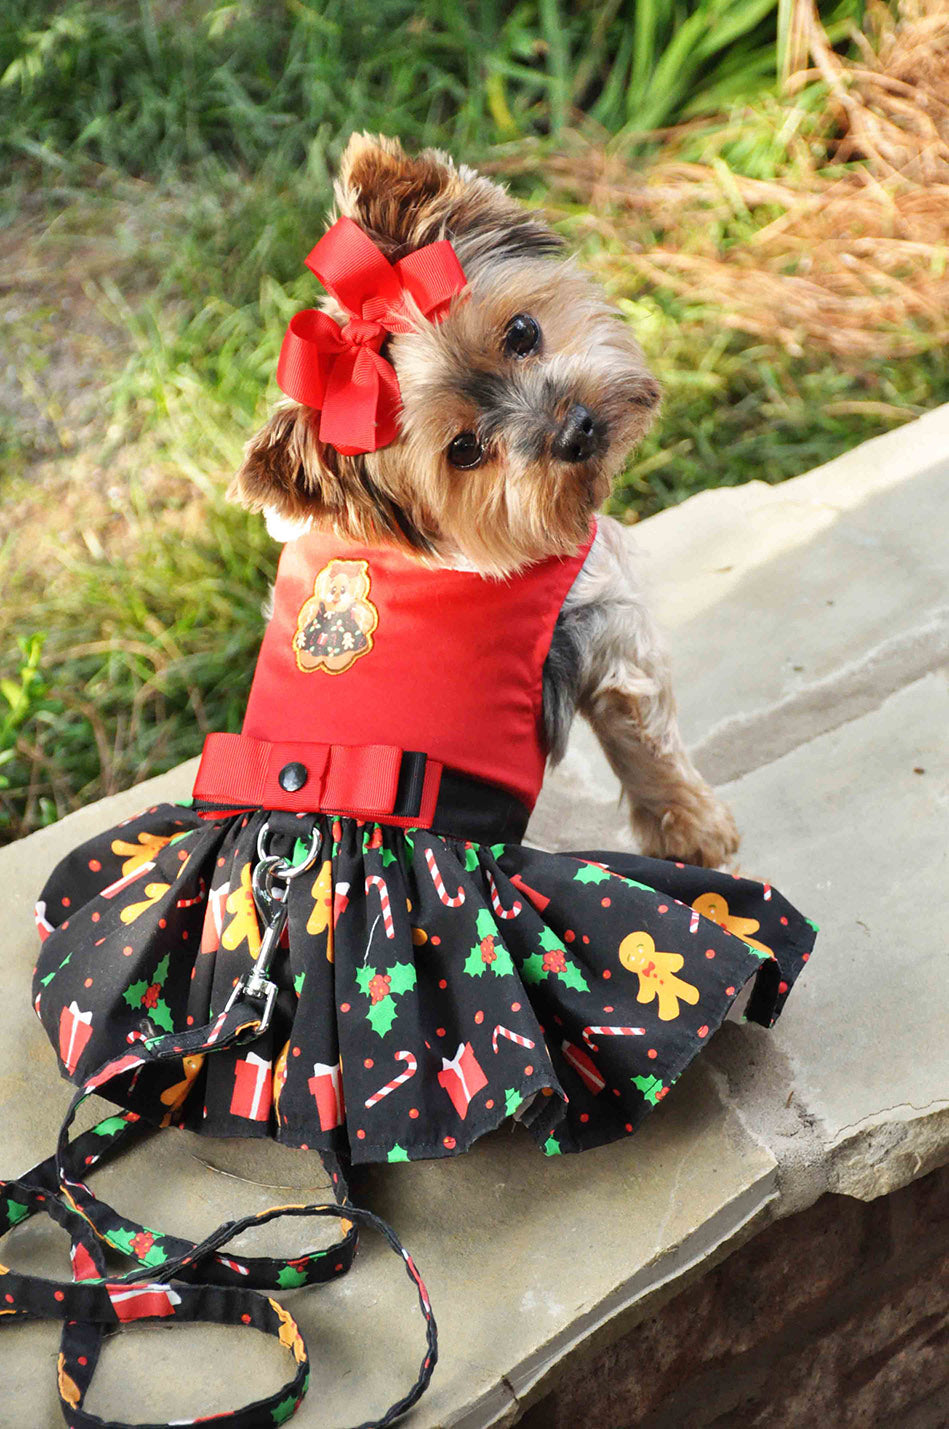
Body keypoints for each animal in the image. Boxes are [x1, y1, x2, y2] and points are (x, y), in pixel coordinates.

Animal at [225, 134, 737, 863]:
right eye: (464, 450)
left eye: (522, 332)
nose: (575, 431)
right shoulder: (609, 627)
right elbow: (648, 744)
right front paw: (697, 832)